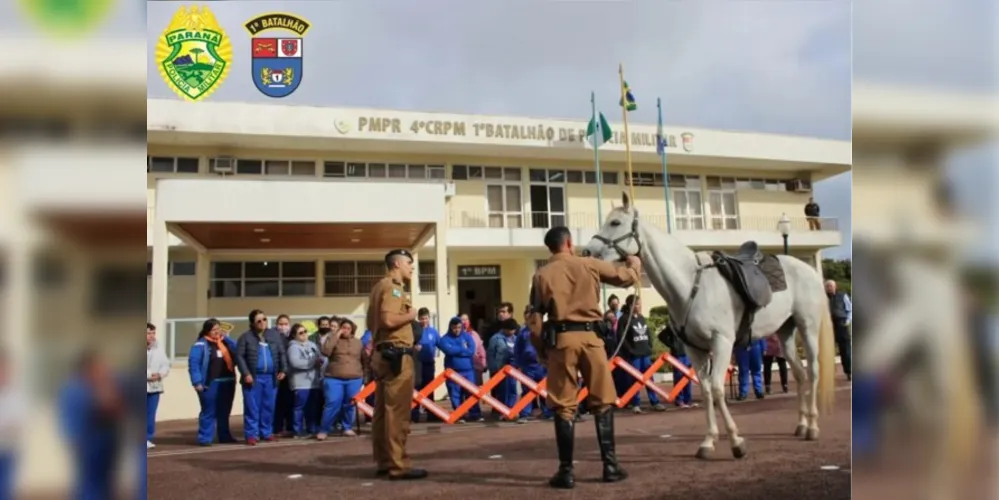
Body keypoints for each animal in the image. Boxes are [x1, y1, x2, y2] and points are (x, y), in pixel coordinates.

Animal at [584, 193, 840, 458]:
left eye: (615, 222)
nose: (587, 251)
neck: (689, 286)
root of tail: (809, 269)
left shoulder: (722, 342)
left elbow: (717, 388)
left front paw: (736, 441)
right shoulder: (694, 350)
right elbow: (706, 390)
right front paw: (708, 441)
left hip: (807, 327)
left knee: (813, 371)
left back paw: (813, 426)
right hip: (785, 333)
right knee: (799, 373)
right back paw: (801, 424)